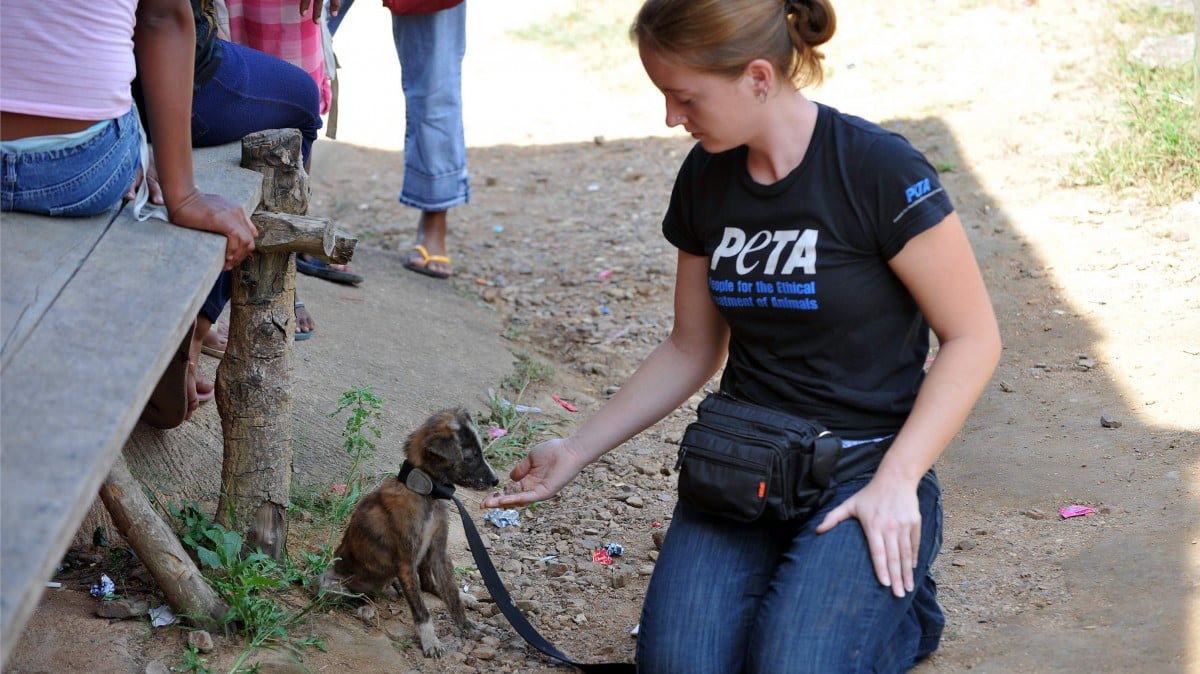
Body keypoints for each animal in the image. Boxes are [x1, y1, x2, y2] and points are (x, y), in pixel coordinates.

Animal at [321, 407, 499, 652]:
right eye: (471, 456)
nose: (496, 480)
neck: (427, 494)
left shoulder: (439, 552)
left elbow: (451, 594)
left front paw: (468, 627)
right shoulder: (405, 562)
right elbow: (421, 610)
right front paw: (430, 640)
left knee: (428, 584)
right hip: (329, 584)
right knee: (360, 595)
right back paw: (366, 606)